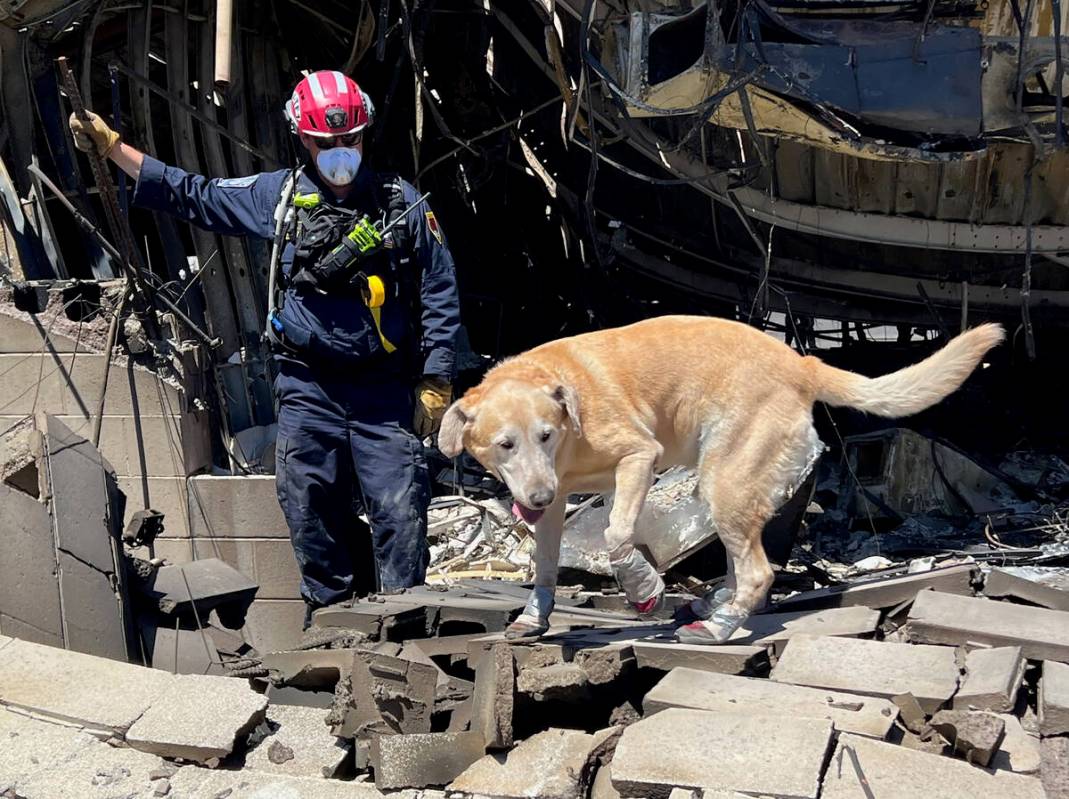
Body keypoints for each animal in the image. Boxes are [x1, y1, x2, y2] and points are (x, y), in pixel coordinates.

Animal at [436, 314, 1000, 641]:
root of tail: (802, 364)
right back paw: (715, 602)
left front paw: (642, 585)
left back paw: (720, 624)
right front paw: (535, 616)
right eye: (505, 444)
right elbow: (548, 564)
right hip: (727, 487)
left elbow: (617, 532)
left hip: (724, 479)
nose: (536, 494)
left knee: (758, 571)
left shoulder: (638, 455)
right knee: (740, 560)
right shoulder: (556, 505)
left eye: (546, 435)